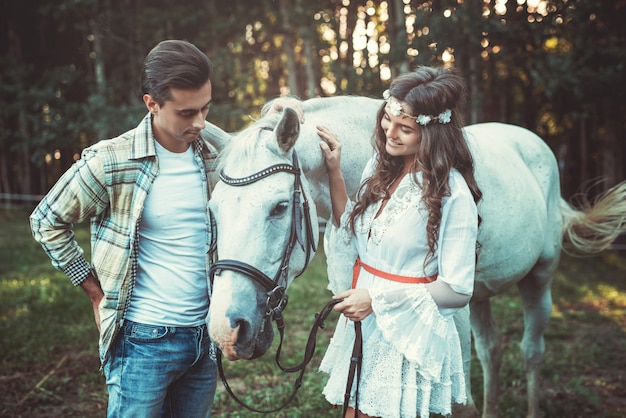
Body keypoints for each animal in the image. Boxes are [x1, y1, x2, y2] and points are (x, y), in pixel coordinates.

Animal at [205, 97, 624, 418]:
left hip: (539, 277)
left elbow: (459, 402)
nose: (226, 329)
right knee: (492, 351)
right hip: (480, 296)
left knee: (531, 353)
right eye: (213, 209)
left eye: (278, 207)